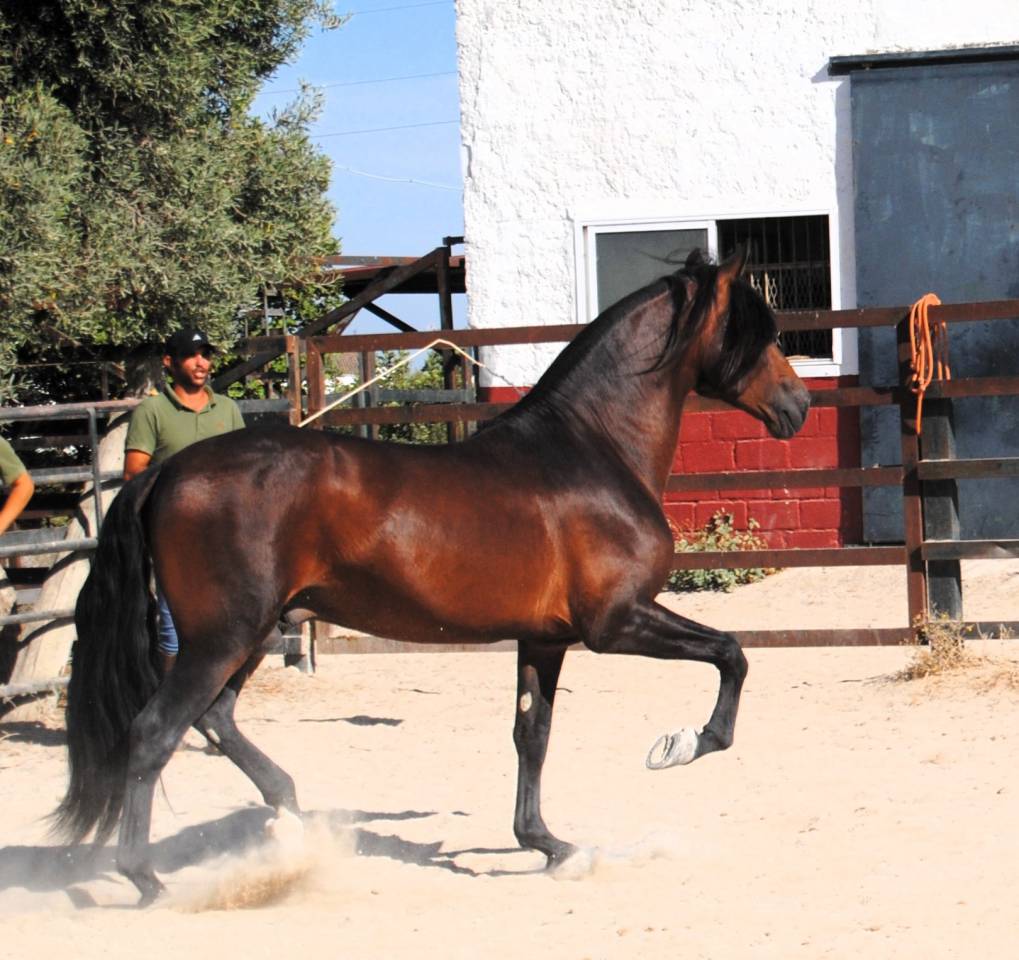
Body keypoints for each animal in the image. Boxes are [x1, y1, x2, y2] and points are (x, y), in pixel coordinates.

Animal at [55, 248, 810, 904]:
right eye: (761, 330)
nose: (797, 406)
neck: (589, 450)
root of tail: (167, 472)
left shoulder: (545, 639)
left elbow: (532, 734)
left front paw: (549, 845)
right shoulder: (615, 622)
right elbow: (731, 656)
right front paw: (682, 745)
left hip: (249, 632)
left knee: (214, 719)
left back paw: (289, 813)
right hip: (223, 635)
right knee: (156, 731)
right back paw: (148, 880)